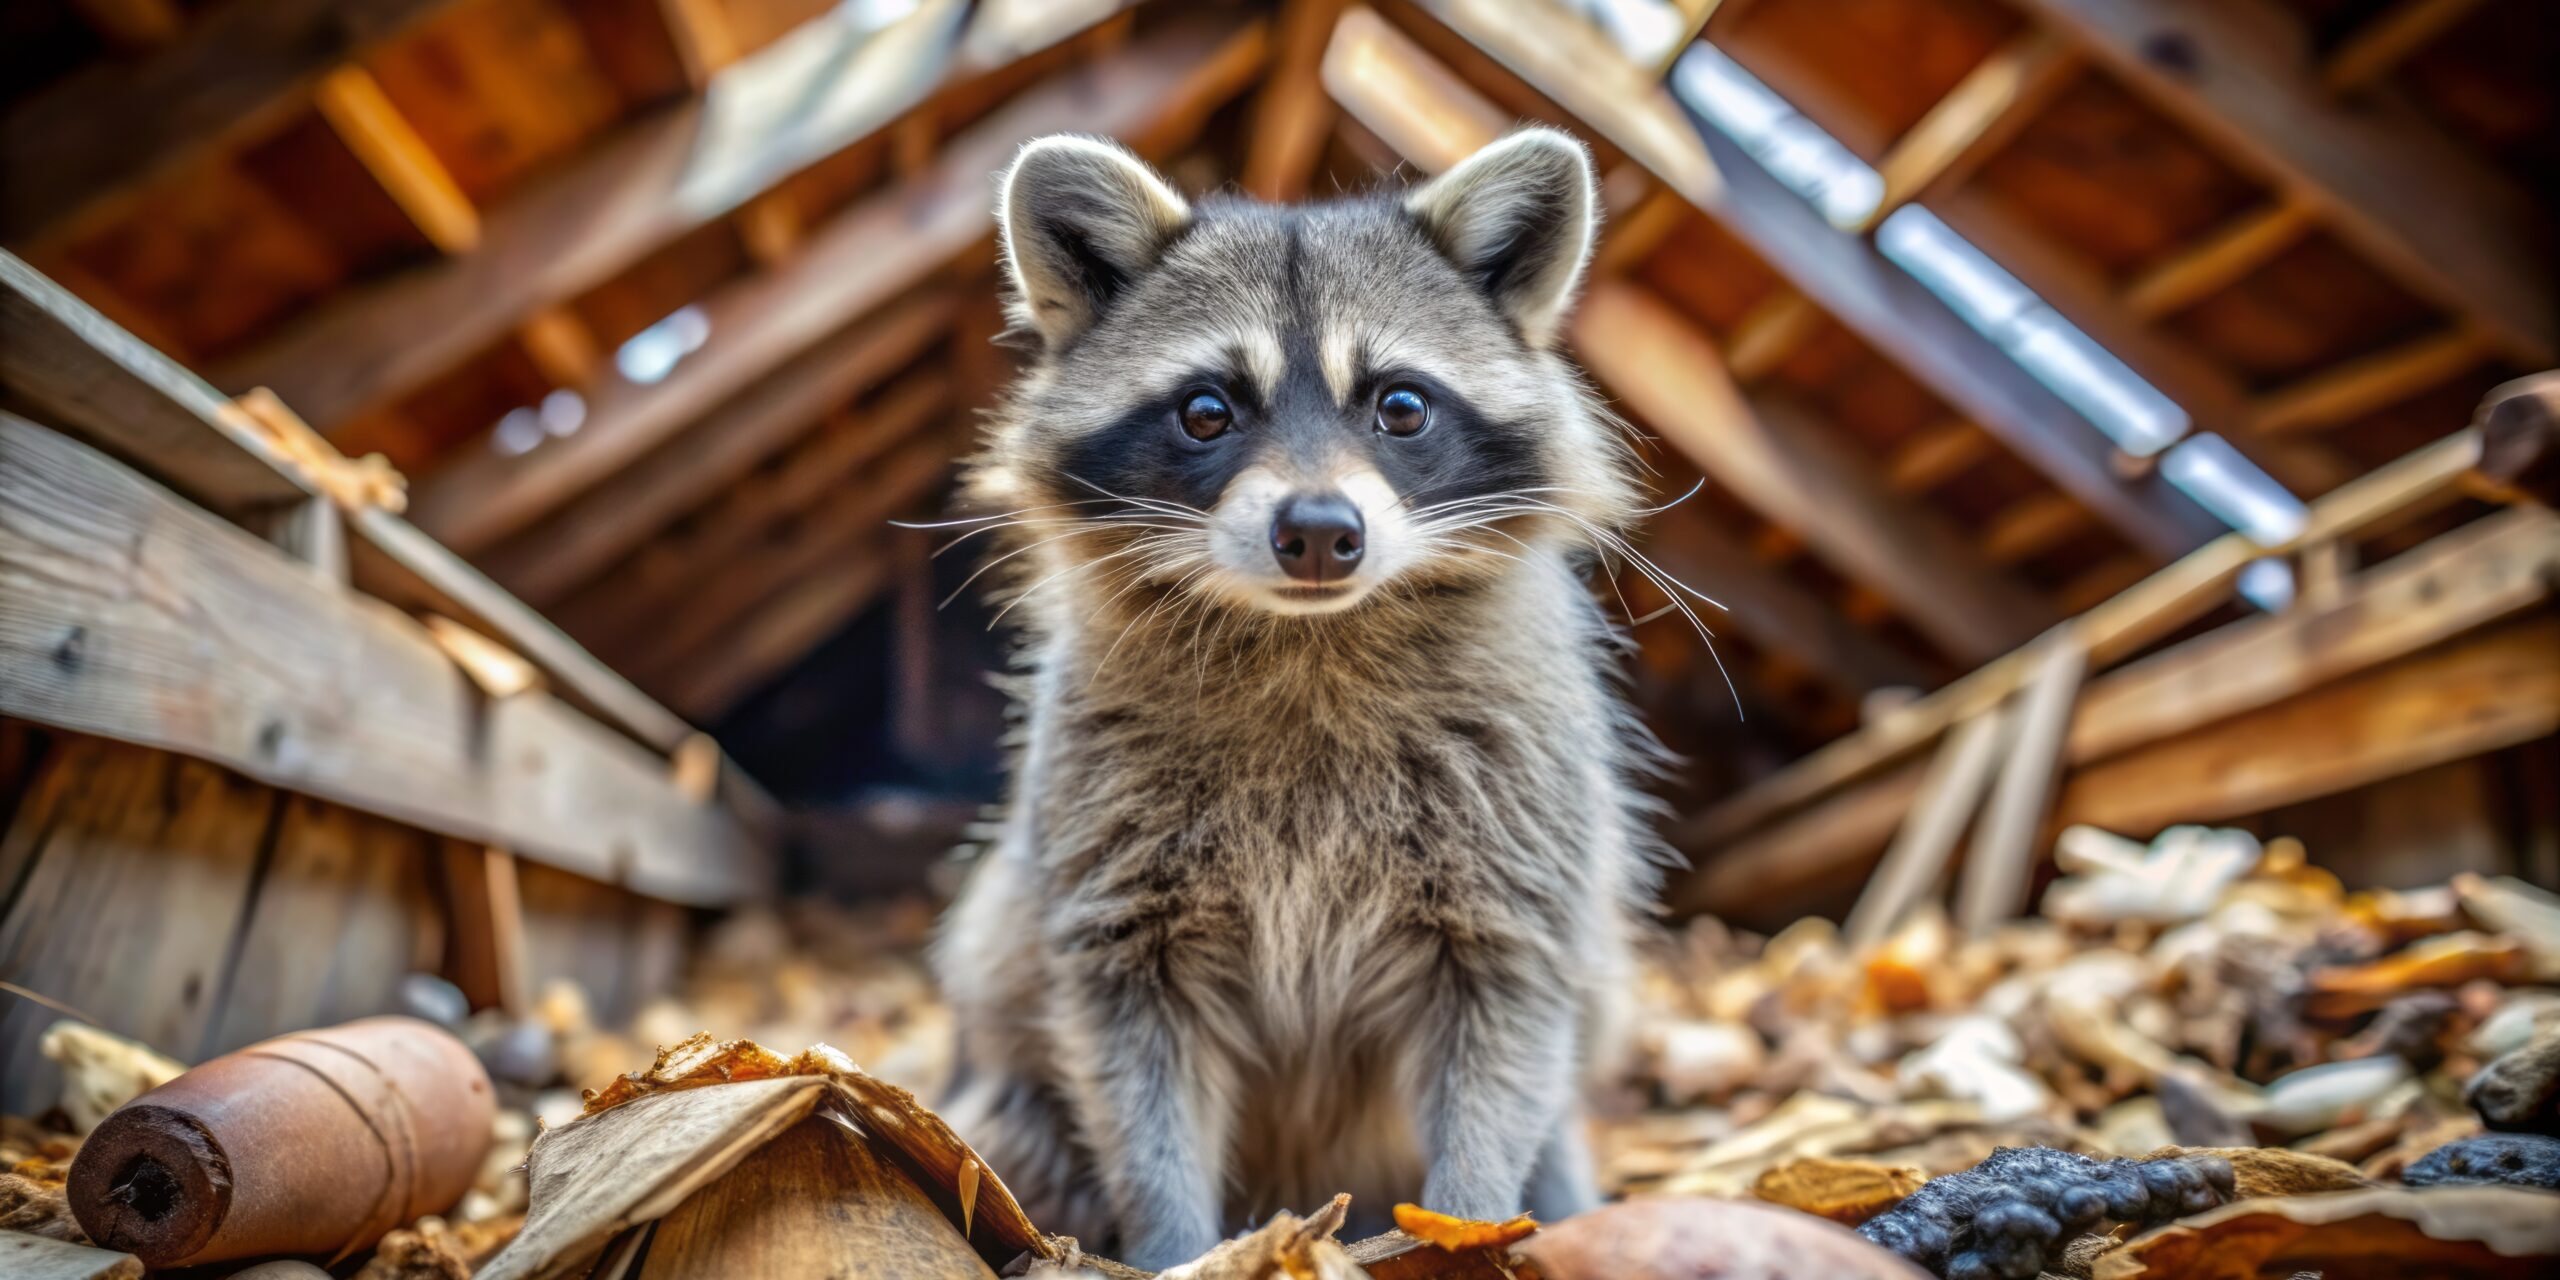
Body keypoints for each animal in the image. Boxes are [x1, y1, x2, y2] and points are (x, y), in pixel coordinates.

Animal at [932, 127, 1670, 1268]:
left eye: (1400, 405)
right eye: (1206, 410)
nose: (1320, 532)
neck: (1309, 635)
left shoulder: (1516, 844)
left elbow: (1504, 1033)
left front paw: (1469, 1224)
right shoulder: (1110, 873)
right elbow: (1133, 1057)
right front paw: (1172, 1242)